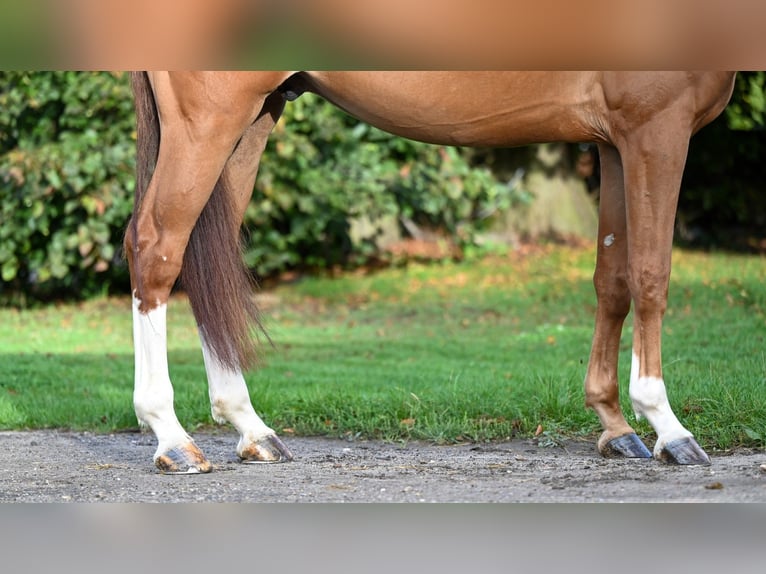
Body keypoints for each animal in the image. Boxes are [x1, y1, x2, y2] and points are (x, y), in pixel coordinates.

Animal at [127, 72, 736, 474]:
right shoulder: (656, 129)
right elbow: (650, 276)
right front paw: (668, 427)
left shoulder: (613, 142)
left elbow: (612, 281)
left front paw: (616, 426)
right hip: (209, 120)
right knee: (156, 249)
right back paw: (172, 439)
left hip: (254, 117)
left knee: (206, 265)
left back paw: (251, 429)